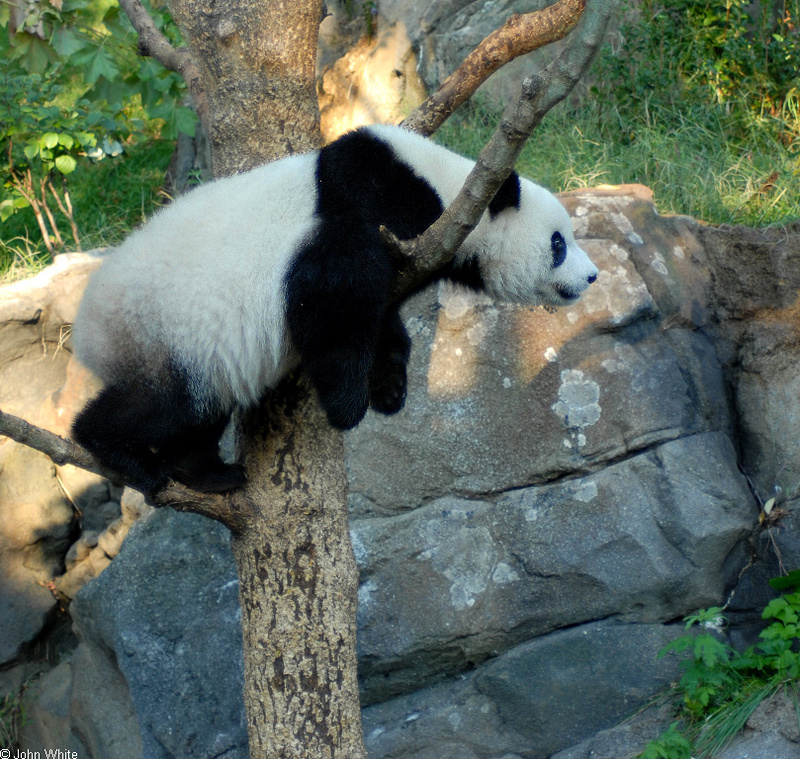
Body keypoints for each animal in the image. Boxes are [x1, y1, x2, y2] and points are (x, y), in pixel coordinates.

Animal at [72, 126, 596, 498]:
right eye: (558, 243)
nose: (591, 277)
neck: (447, 190)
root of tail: (84, 336)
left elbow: (380, 320)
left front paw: (390, 386)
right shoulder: (366, 206)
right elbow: (335, 298)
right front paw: (348, 406)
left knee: (202, 409)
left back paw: (207, 473)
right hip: (160, 330)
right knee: (162, 405)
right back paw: (122, 455)